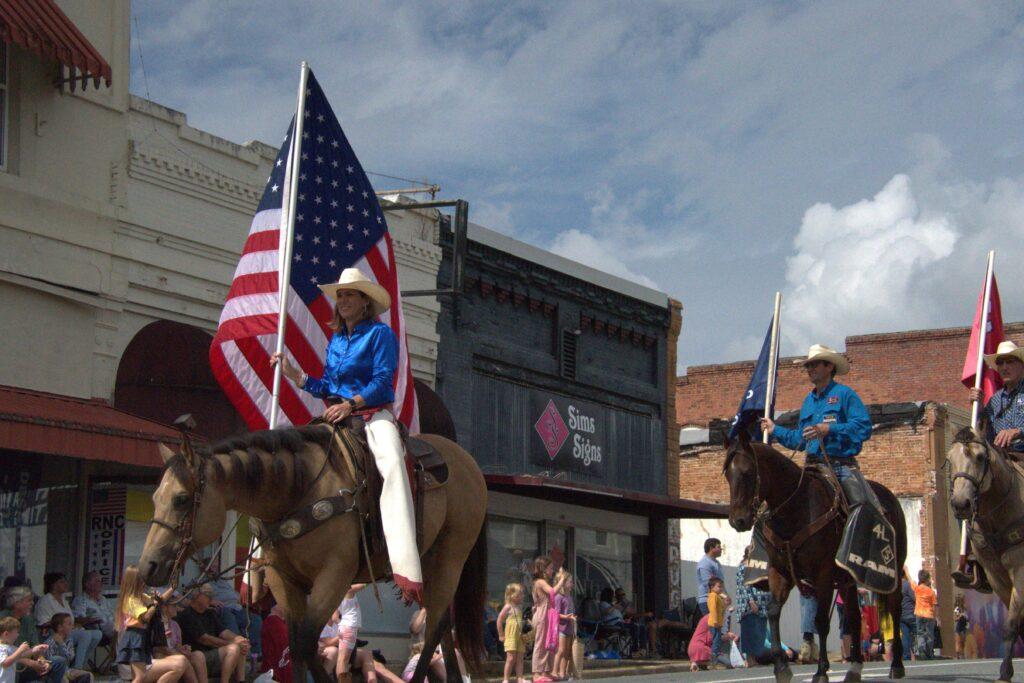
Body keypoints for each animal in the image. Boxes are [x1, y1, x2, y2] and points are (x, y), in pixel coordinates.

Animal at [138, 382, 485, 683]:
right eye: (154, 498)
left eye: (181, 499)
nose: (147, 567)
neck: (299, 488)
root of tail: (468, 463)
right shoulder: (284, 578)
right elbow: (295, 645)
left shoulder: (335, 575)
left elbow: (306, 642)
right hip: (427, 561)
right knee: (443, 625)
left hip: (450, 558)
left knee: (435, 626)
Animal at [724, 432, 909, 683]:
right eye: (728, 474)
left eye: (746, 472)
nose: (738, 520)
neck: (795, 508)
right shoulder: (779, 572)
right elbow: (773, 612)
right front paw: (781, 667)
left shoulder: (823, 575)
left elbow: (820, 621)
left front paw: (821, 670)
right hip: (848, 580)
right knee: (854, 617)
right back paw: (854, 667)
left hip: (894, 573)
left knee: (894, 610)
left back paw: (897, 665)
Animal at [942, 423, 1024, 679]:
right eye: (950, 459)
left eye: (979, 457)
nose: (961, 504)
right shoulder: (995, 575)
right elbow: (1016, 623)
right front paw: (1006, 672)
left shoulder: (1020, 569)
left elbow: (1012, 623)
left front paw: (1005, 672)